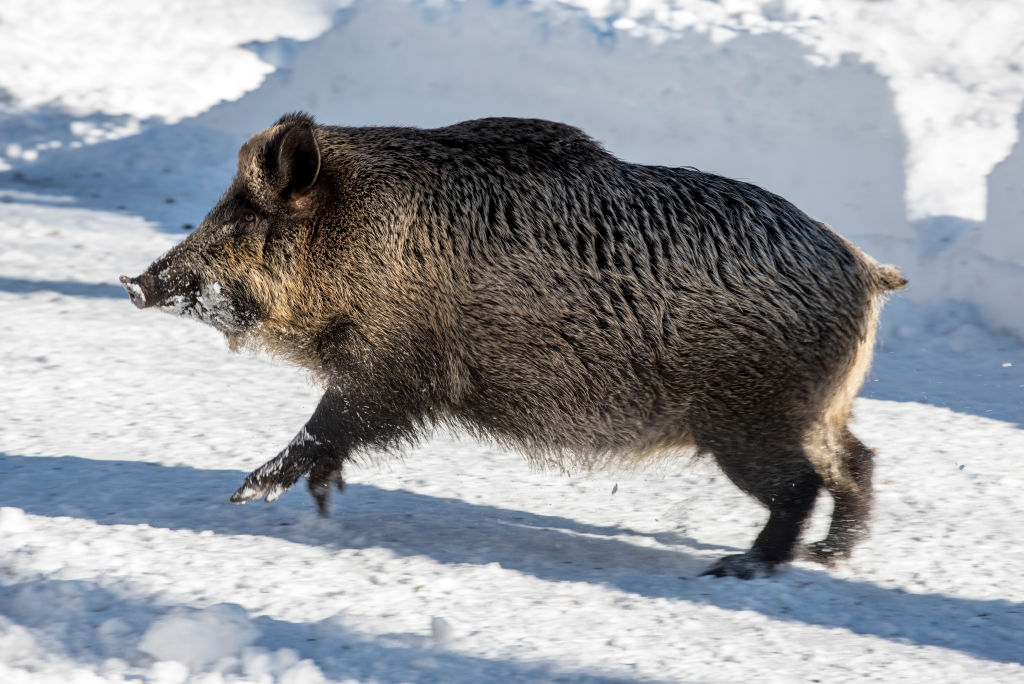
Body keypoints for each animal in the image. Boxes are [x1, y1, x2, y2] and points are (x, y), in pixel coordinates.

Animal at [121, 113, 906, 578]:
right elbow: (334, 434)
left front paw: (243, 494)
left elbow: (329, 424)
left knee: (803, 485)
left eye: (244, 217)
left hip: (749, 420)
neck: (359, 242)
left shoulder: (395, 369)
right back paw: (827, 557)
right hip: (812, 412)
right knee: (858, 463)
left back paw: (739, 568)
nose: (135, 282)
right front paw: (312, 499)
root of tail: (867, 272)